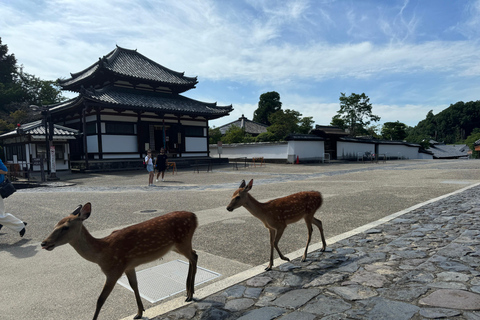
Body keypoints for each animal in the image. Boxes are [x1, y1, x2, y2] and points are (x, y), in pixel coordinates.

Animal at [40, 204, 198, 318]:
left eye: (65, 227)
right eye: (55, 225)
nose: (44, 243)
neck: (101, 254)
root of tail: (194, 217)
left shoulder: (113, 271)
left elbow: (100, 300)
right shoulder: (128, 266)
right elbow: (134, 285)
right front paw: (139, 312)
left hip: (183, 241)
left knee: (194, 257)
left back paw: (190, 294)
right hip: (177, 245)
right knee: (194, 255)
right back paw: (188, 292)